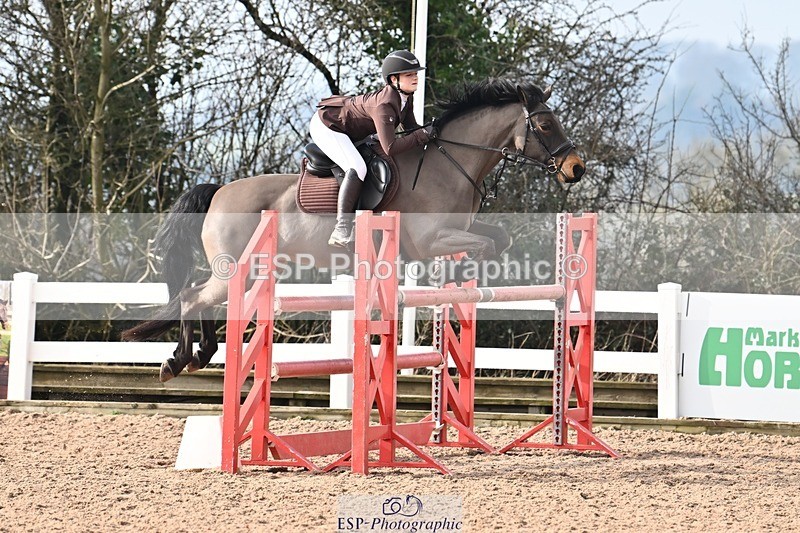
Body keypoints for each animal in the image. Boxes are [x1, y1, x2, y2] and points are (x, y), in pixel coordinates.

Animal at [122, 79, 585, 382]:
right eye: (545, 126)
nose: (576, 168)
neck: (451, 163)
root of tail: (218, 191)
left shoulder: (455, 231)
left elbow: (498, 239)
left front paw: (454, 278)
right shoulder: (430, 239)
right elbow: (486, 245)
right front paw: (451, 275)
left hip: (245, 272)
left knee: (199, 297)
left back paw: (198, 355)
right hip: (239, 268)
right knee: (191, 296)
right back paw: (180, 360)